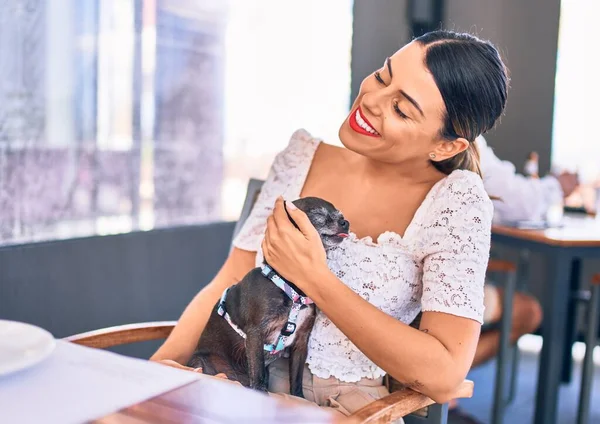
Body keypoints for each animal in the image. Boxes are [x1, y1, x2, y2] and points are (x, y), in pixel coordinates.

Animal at [186, 198, 346, 398]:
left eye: (341, 215)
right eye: (319, 215)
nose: (345, 223)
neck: (291, 288)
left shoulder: (301, 343)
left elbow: (297, 377)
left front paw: (299, 398)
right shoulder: (255, 334)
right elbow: (258, 372)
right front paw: (261, 393)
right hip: (200, 362)